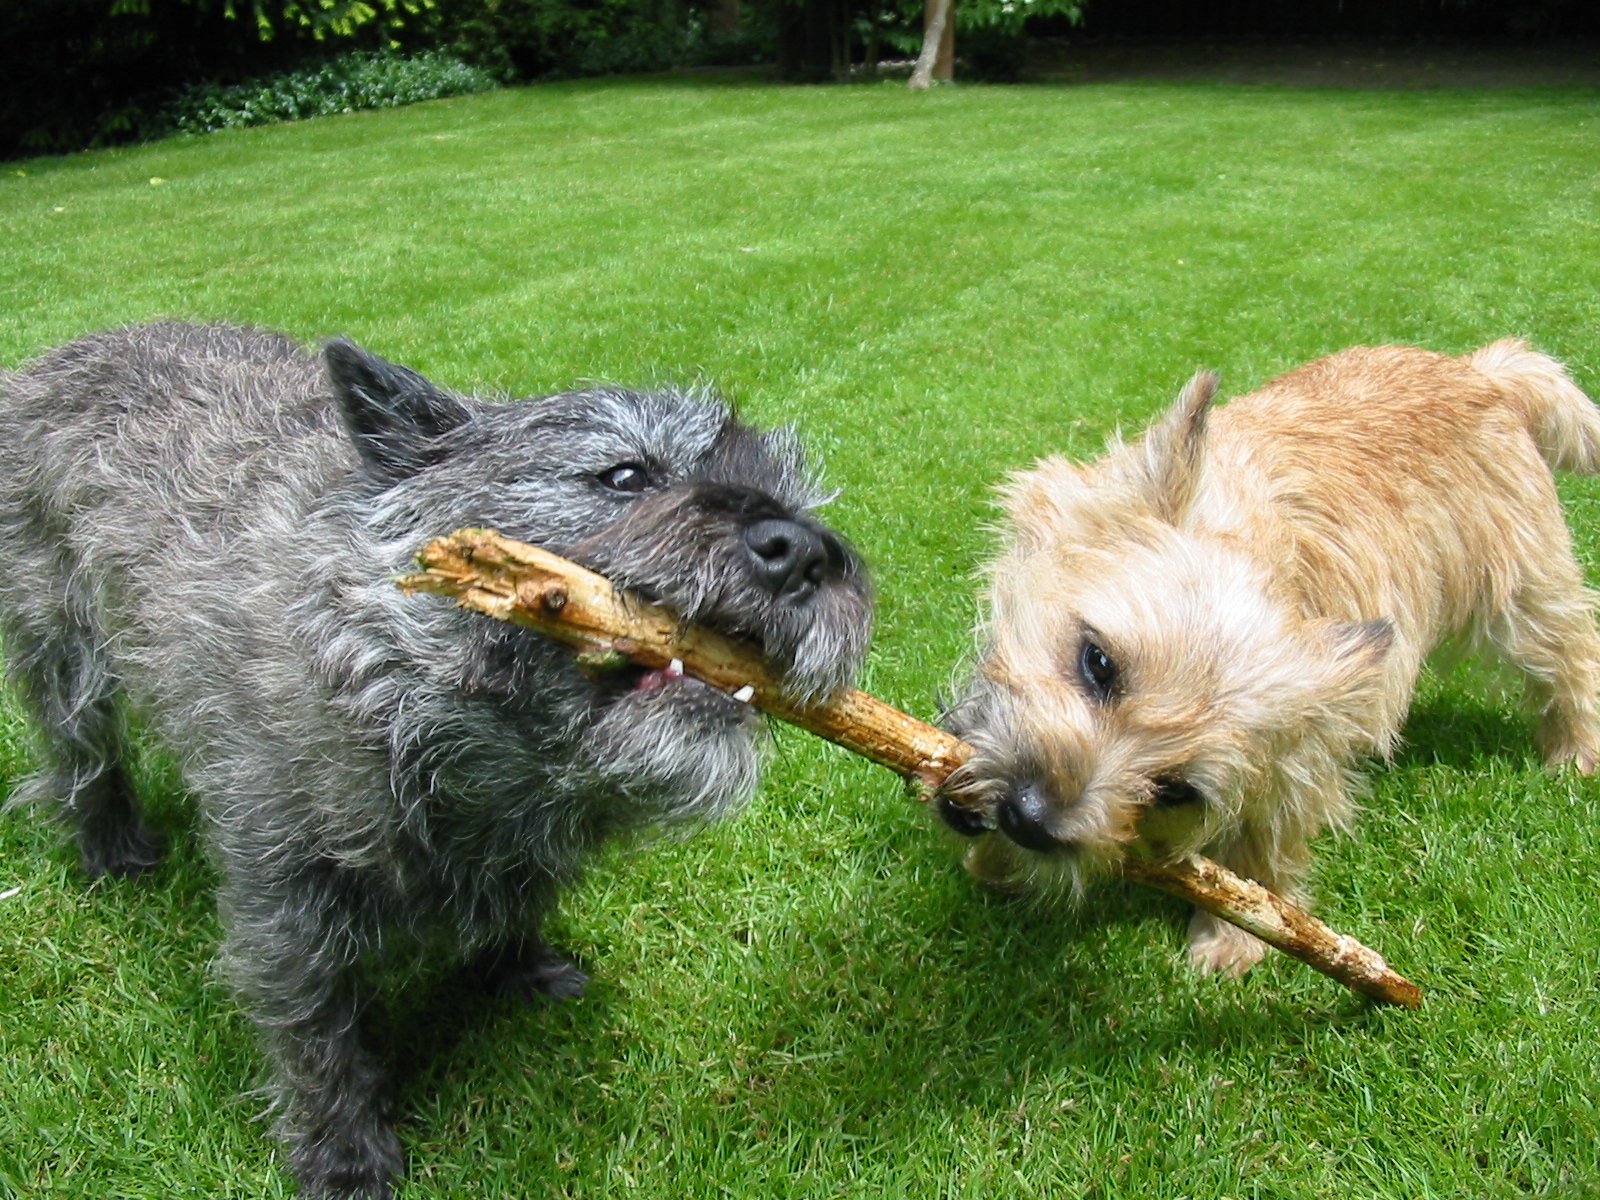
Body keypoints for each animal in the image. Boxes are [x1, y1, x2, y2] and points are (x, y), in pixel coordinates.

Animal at [0, 324, 876, 1196]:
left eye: (799, 498)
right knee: (83, 756)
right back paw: (110, 848)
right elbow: (317, 1034)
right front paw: (343, 1154)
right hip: (63, 650)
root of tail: (79, 345)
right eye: (625, 474)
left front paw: (518, 968)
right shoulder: (283, 899)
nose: (801, 552)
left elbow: (515, 904)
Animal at [934, 342, 1600, 979]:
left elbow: (1264, 847)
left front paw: (1234, 939)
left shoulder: (1303, 760)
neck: (1271, 545)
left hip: (1524, 594)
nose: (1029, 818)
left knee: (1574, 654)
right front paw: (996, 861)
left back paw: (1576, 753)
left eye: (1174, 791)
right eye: (1098, 662)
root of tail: (1480, 369)